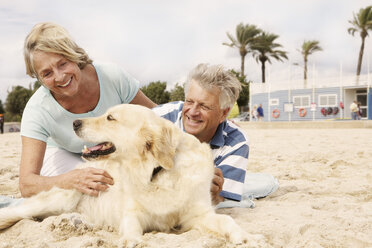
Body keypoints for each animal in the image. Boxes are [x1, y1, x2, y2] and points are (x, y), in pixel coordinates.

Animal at [0, 103, 264, 247]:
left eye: (110, 118)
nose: (74, 123)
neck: (156, 173)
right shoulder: (133, 211)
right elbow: (131, 223)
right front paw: (130, 240)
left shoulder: (197, 215)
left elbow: (227, 220)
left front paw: (245, 236)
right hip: (58, 198)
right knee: (17, 211)